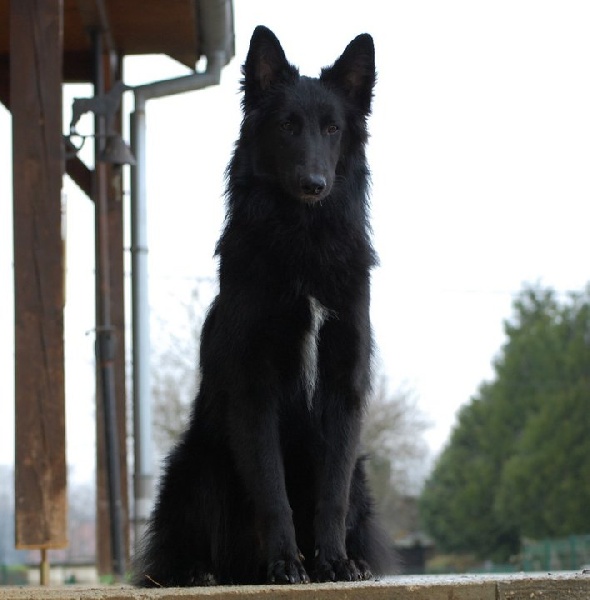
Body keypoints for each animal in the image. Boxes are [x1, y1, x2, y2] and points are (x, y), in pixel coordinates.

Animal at [132, 24, 396, 584]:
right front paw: (286, 564)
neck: (304, 242)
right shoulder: (255, 389)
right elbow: (273, 492)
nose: (314, 185)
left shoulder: (343, 388)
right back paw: (202, 572)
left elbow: (331, 494)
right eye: (287, 126)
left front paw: (333, 562)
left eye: (332, 128)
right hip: (196, 464)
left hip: (362, 472)